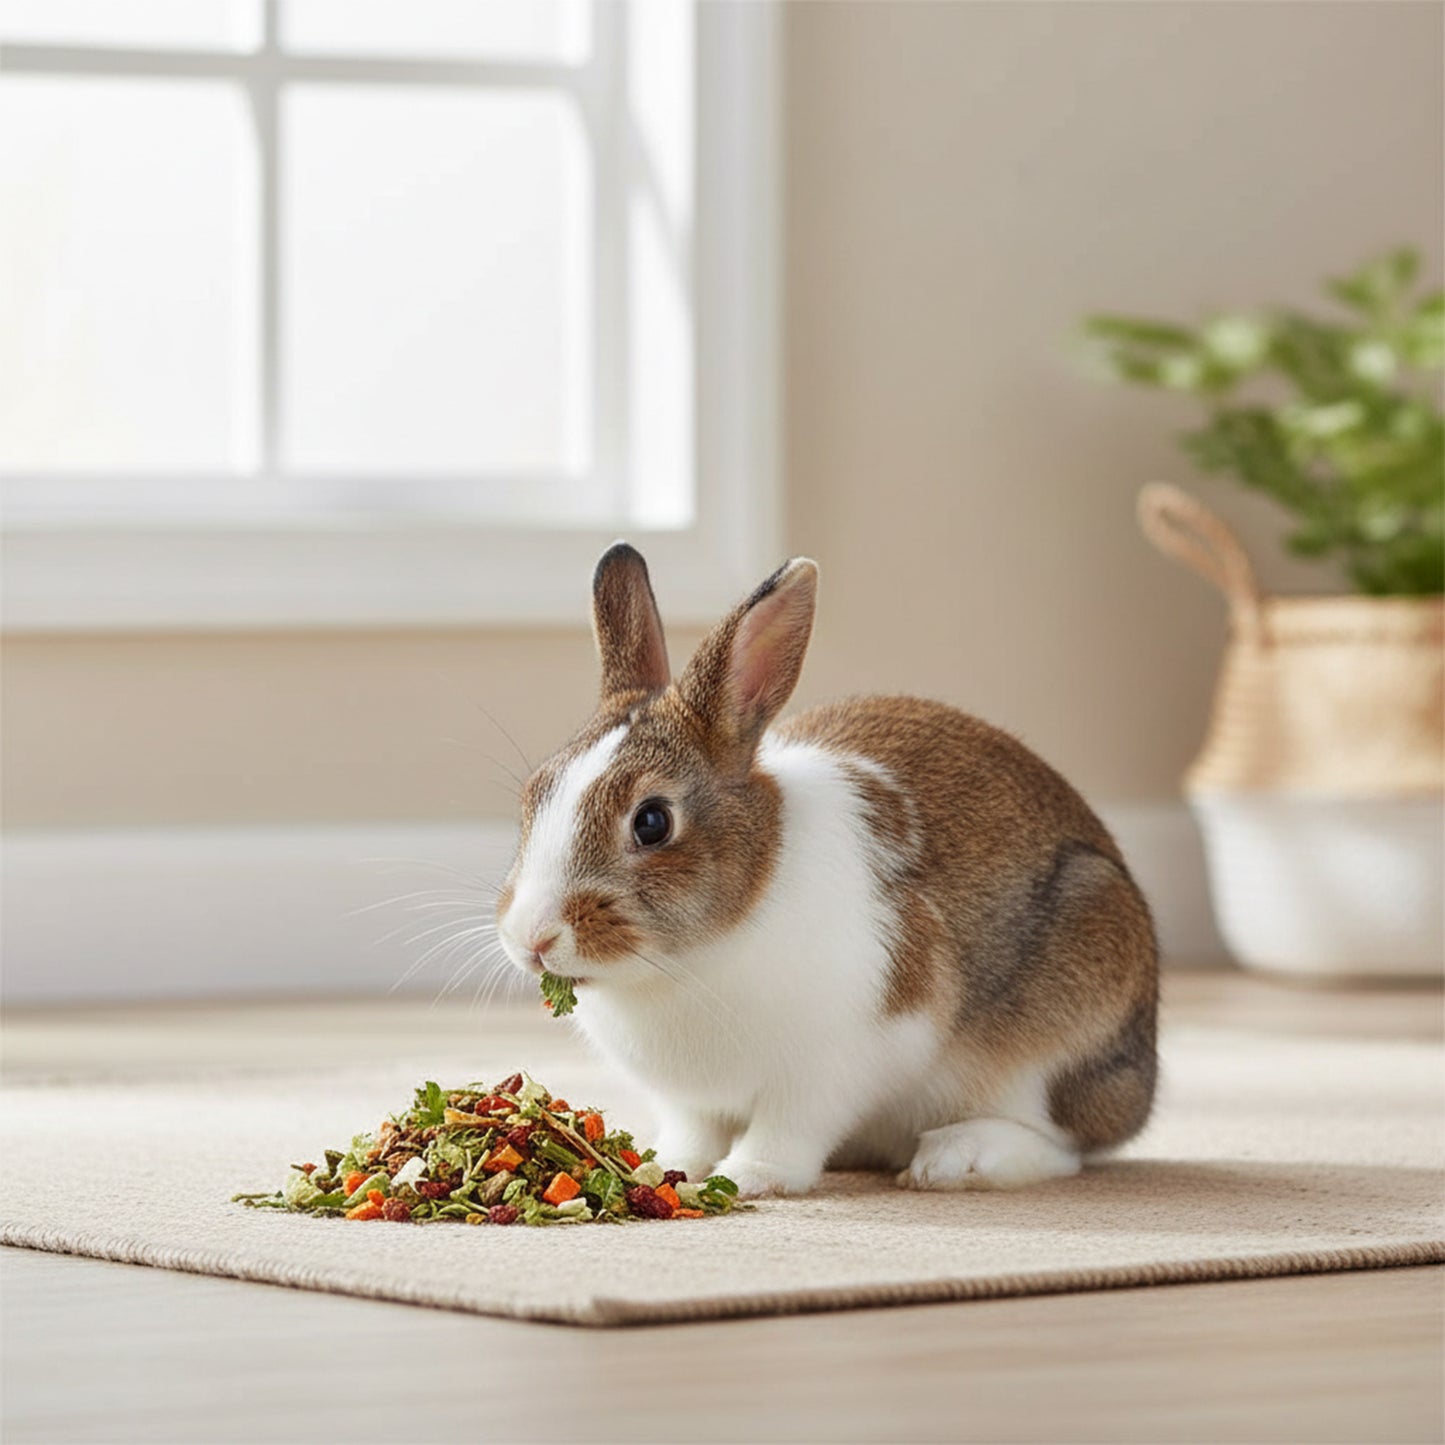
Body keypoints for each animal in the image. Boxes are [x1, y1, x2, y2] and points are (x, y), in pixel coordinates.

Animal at [496, 544, 1159, 1197]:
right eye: (533, 794)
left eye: (653, 821)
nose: (534, 938)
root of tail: (1139, 1081)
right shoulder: (693, 1102)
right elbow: (693, 1134)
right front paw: (660, 1168)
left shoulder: (836, 1065)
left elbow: (788, 1129)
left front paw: (749, 1178)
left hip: (1061, 1023)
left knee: (1062, 1146)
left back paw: (954, 1160)